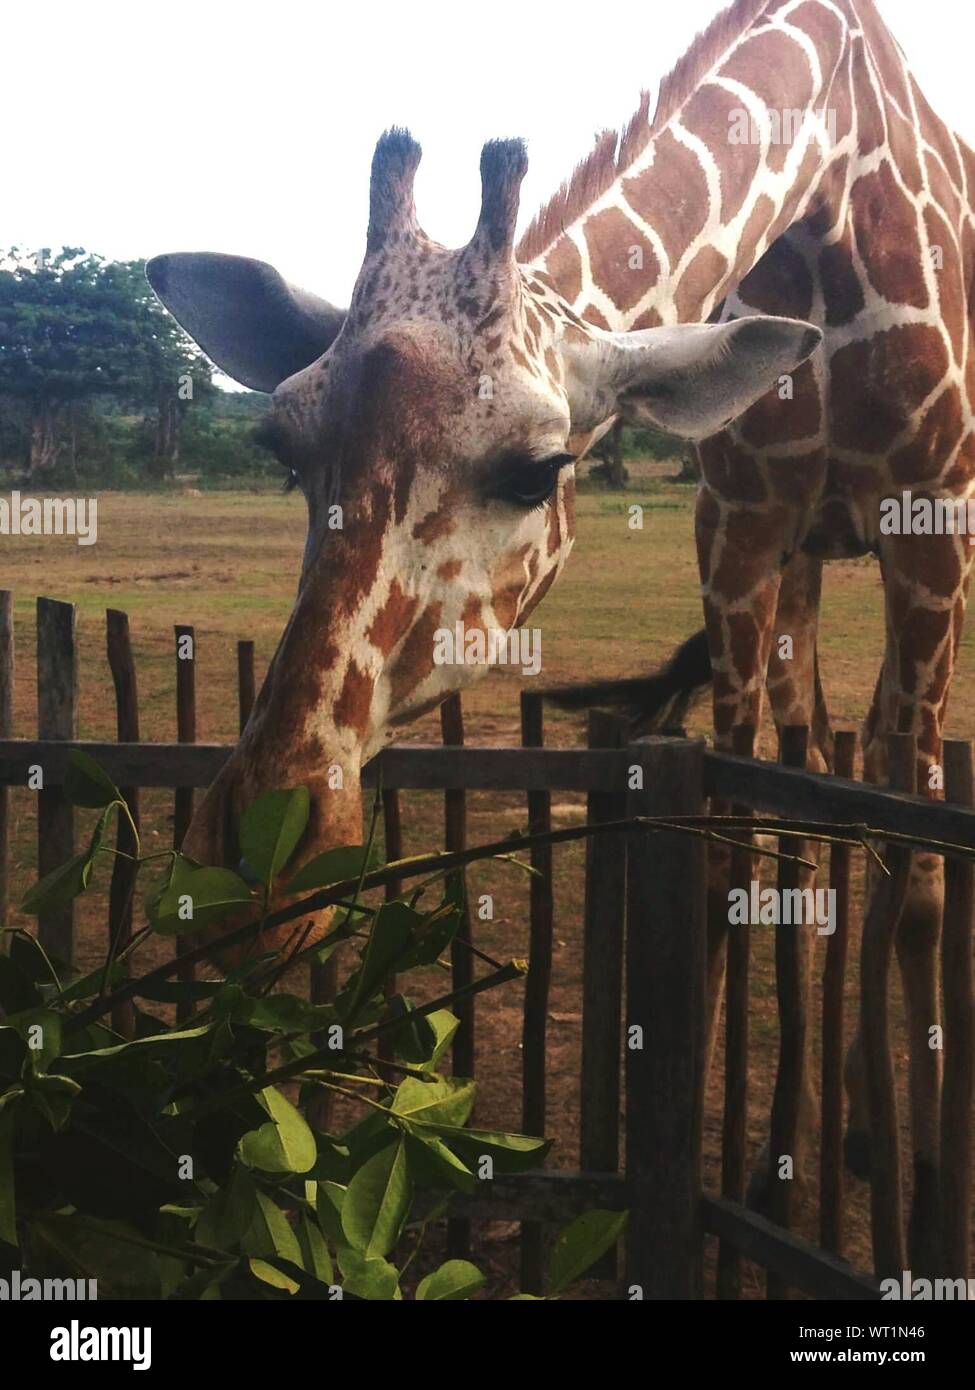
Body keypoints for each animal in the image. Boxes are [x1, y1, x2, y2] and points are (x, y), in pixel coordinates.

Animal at [527, 0, 975, 1264]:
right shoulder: (740, 526)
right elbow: (733, 841)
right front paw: (734, 1173)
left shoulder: (932, 524)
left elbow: (922, 865)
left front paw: (930, 1207)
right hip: (810, 566)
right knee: (823, 764)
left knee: (889, 794)